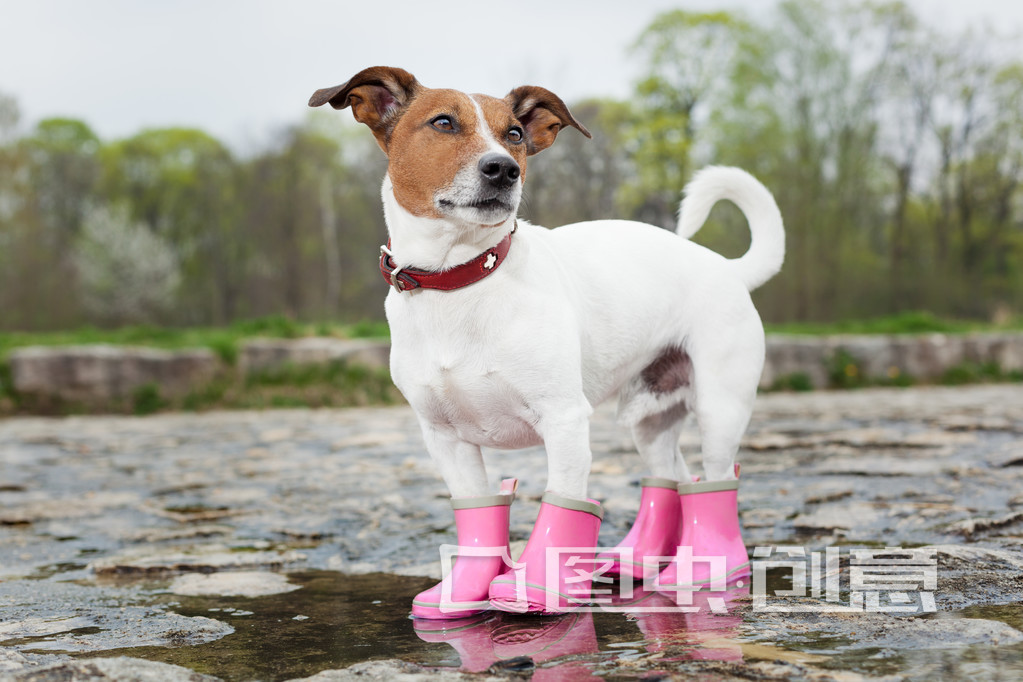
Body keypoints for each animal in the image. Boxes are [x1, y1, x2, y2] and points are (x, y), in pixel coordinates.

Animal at [308, 66, 781, 617]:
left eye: (514, 133)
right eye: (443, 122)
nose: (503, 169)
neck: (462, 280)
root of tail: (727, 268)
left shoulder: (564, 421)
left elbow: (564, 504)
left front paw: (539, 586)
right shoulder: (445, 439)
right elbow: (477, 512)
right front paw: (461, 593)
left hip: (720, 407)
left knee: (716, 480)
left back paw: (710, 570)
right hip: (648, 416)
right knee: (672, 477)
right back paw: (639, 562)